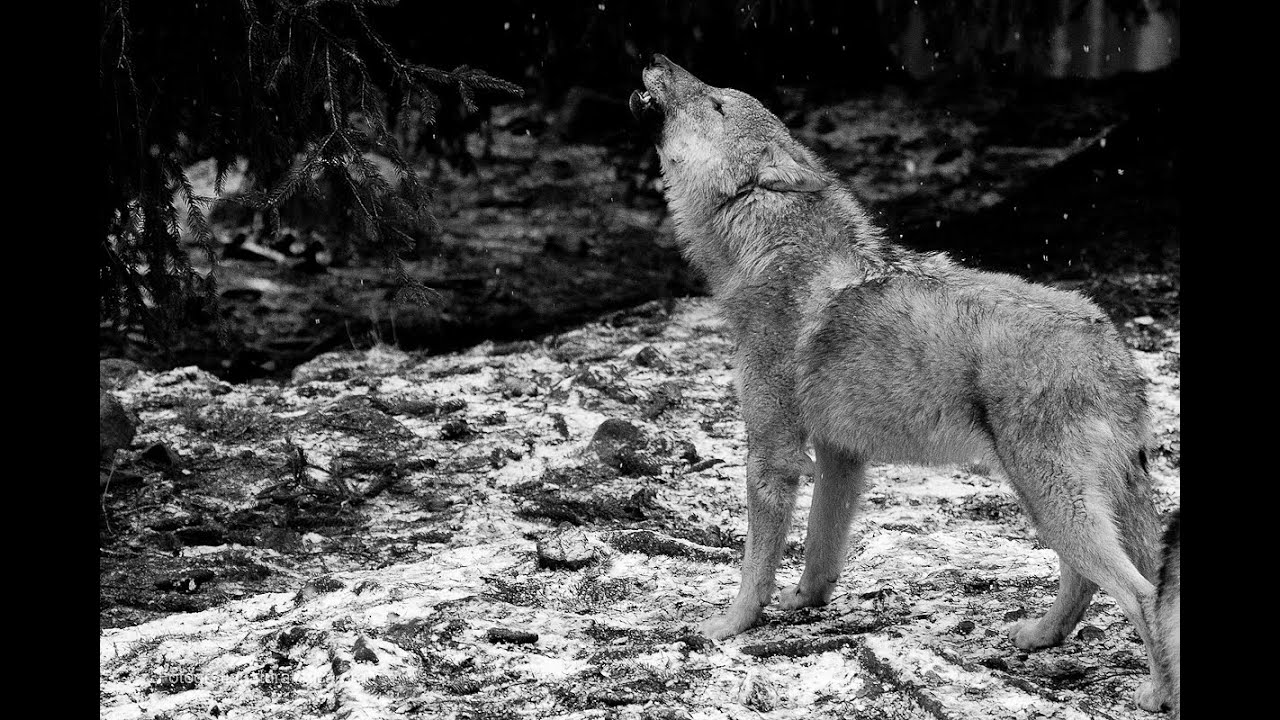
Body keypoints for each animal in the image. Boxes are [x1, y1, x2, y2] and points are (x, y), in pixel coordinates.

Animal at [631, 54, 1172, 712]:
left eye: (714, 103)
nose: (657, 58)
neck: (770, 252)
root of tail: (1108, 341)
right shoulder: (841, 454)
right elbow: (821, 545)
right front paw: (804, 602)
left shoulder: (772, 453)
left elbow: (755, 564)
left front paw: (730, 626)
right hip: (1057, 503)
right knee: (1088, 582)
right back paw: (1040, 637)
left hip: (1051, 500)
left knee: (1139, 593)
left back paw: (1156, 693)